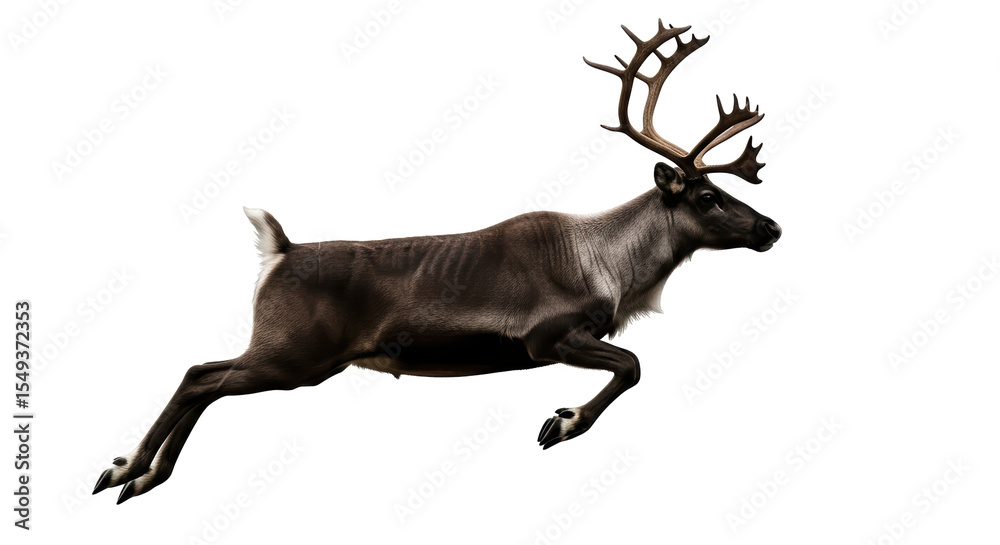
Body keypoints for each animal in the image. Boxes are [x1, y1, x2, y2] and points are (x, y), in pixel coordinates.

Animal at [93, 20, 780, 504]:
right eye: (706, 196)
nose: (771, 227)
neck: (613, 269)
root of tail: (279, 250)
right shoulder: (547, 336)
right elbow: (633, 365)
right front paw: (560, 423)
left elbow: (632, 365)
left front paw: (561, 419)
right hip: (294, 354)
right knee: (198, 374)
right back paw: (123, 470)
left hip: (296, 357)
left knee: (206, 376)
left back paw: (140, 478)